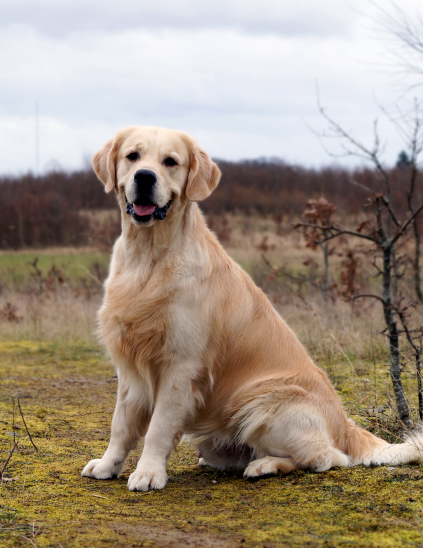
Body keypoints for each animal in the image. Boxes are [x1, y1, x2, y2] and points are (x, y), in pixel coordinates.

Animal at [83, 126, 423, 490]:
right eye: (132, 156)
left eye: (170, 162)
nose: (144, 177)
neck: (147, 257)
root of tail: (344, 423)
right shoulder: (129, 365)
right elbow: (121, 424)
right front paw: (107, 465)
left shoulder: (180, 365)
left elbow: (158, 427)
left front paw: (148, 472)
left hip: (261, 402)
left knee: (327, 457)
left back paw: (265, 465)